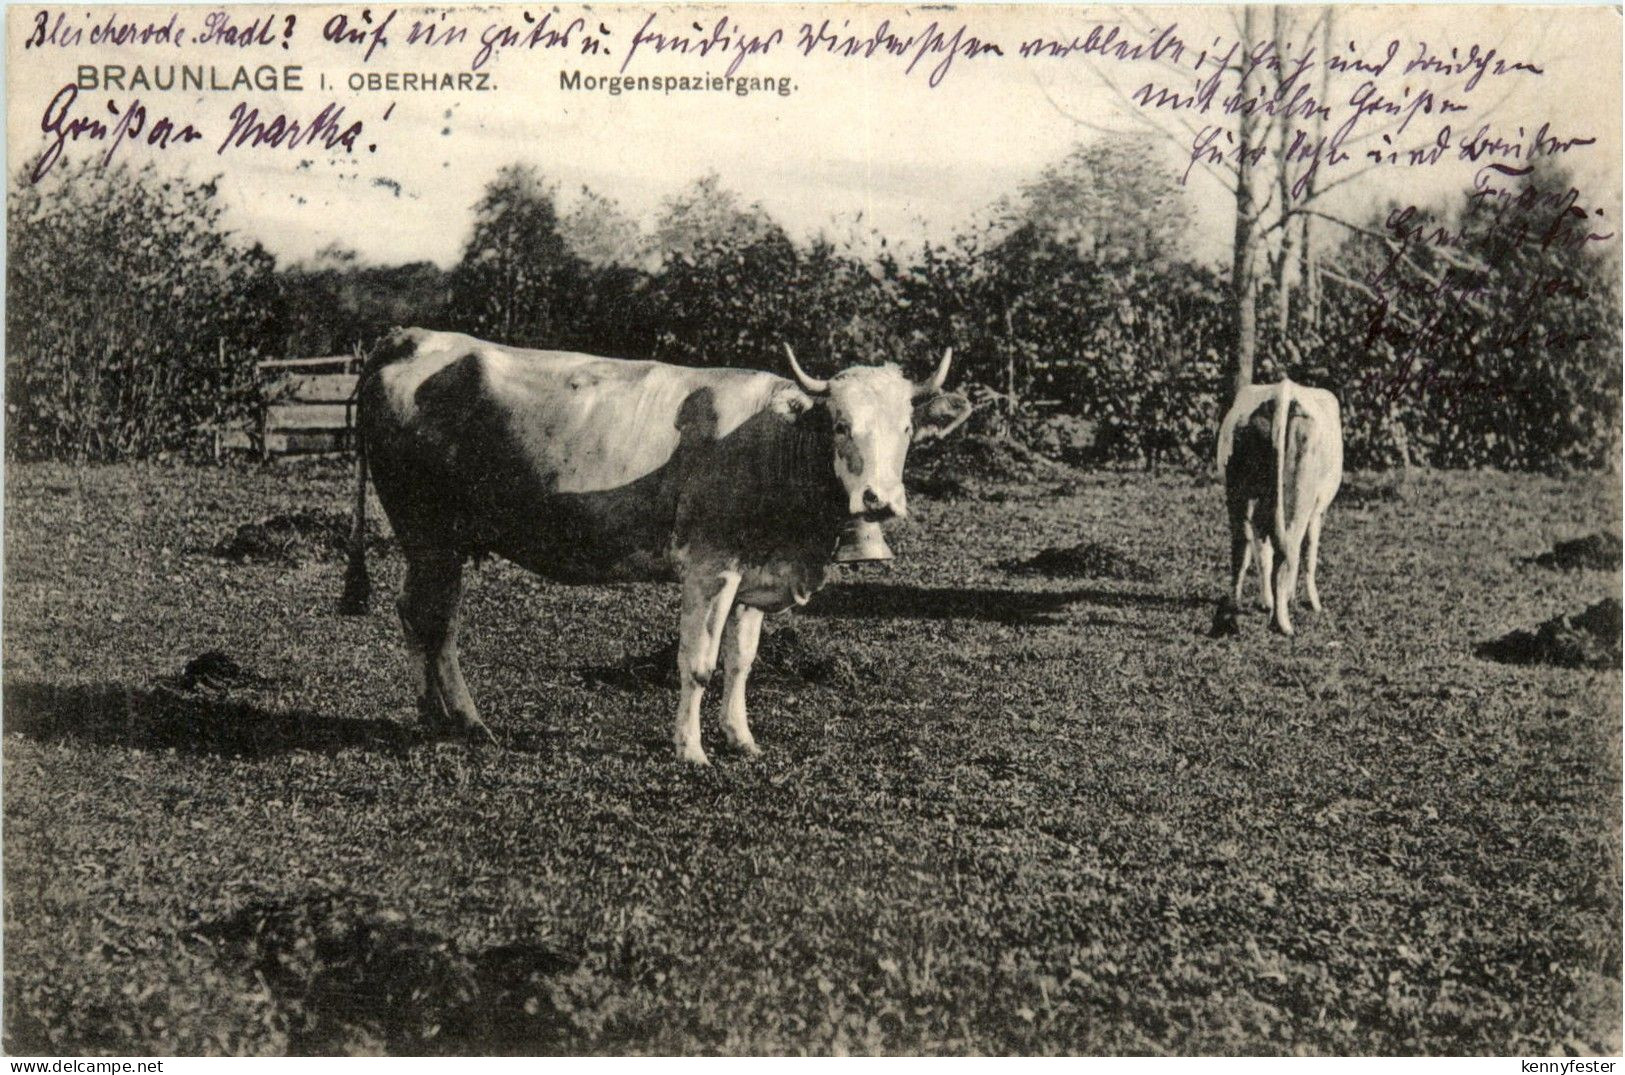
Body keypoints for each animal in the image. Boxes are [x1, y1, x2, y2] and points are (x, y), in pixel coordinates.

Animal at [340, 328, 971, 764]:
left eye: (906, 429)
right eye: (839, 425)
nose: (878, 500)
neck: (774, 443)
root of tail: (413, 337)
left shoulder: (753, 572)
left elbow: (741, 663)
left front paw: (741, 739)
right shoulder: (710, 566)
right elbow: (698, 663)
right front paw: (690, 750)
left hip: (440, 541)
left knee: (427, 618)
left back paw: (453, 720)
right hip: (426, 533)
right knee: (427, 618)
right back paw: (446, 718)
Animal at [1212, 378, 1343, 637]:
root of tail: (1282, 392)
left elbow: (1262, 550)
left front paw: (1267, 601)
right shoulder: (1318, 509)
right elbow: (1309, 553)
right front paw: (1312, 603)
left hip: (1239, 491)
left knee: (1242, 547)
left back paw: (1234, 612)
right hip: (1301, 493)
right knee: (1289, 548)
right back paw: (1282, 623)